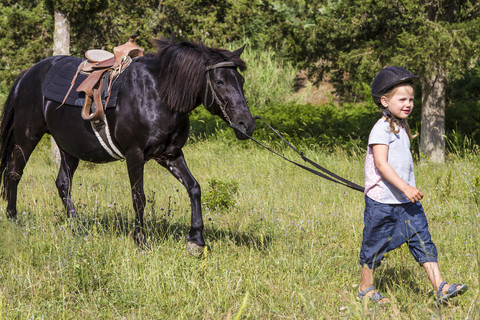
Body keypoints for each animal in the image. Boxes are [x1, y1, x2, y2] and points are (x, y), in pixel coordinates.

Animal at [0, 38, 255, 250]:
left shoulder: (171, 154)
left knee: (62, 183)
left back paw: (77, 228)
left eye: (241, 81)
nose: (247, 124)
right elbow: (139, 198)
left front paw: (197, 239)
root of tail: (27, 75)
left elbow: (194, 188)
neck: (157, 95)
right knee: (14, 173)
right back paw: (14, 220)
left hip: (69, 148)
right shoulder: (135, 155)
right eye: (220, 82)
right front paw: (141, 240)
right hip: (27, 136)